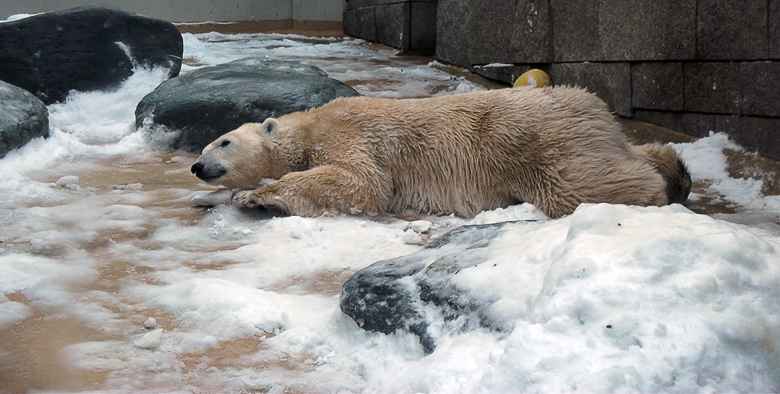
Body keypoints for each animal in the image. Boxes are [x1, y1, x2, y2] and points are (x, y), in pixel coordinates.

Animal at [192, 86, 692, 219]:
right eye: (204, 144)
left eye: (223, 141)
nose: (197, 166)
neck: (309, 125)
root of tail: (595, 106)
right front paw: (208, 198)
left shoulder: (349, 132)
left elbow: (363, 181)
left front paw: (257, 196)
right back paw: (678, 168)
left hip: (538, 140)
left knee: (580, 183)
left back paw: (665, 187)